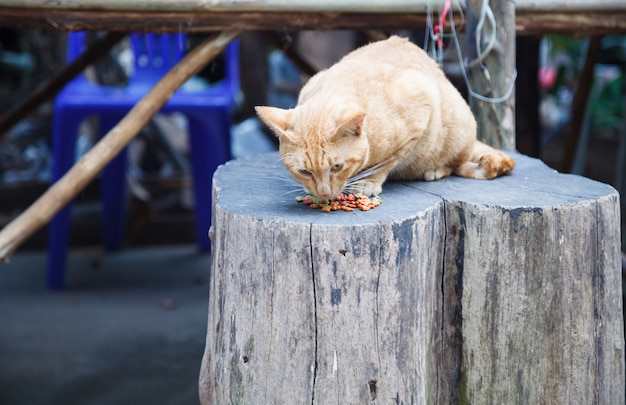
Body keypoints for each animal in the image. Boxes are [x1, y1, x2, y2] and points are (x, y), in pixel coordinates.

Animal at [254, 35, 512, 199]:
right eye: (304, 172)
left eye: (337, 167)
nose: (324, 193)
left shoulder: (420, 112)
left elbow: (387, 161)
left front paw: (368, 181)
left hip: (458, 131)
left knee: (456, 162)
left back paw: (436, 170)